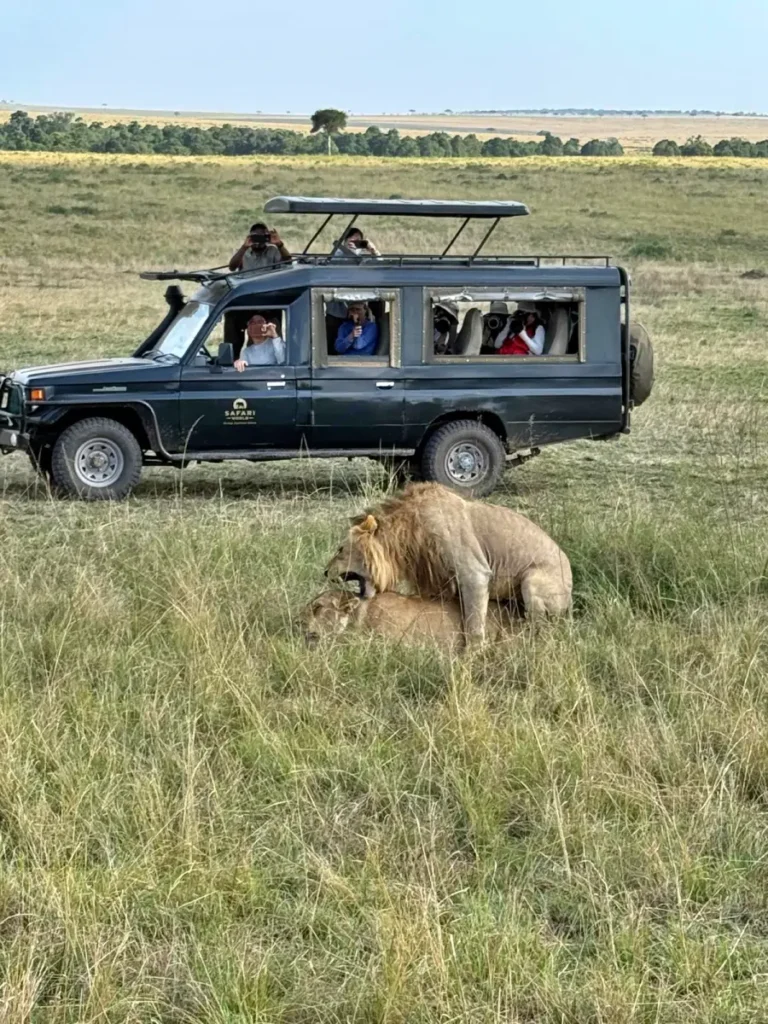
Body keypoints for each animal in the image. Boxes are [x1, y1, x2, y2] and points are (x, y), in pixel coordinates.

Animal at [324, 482, 571, 641]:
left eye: (340, 549)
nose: (325, 572)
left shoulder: (475, 575)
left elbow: (474, 629)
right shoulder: (438, 581)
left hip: (532, 582)